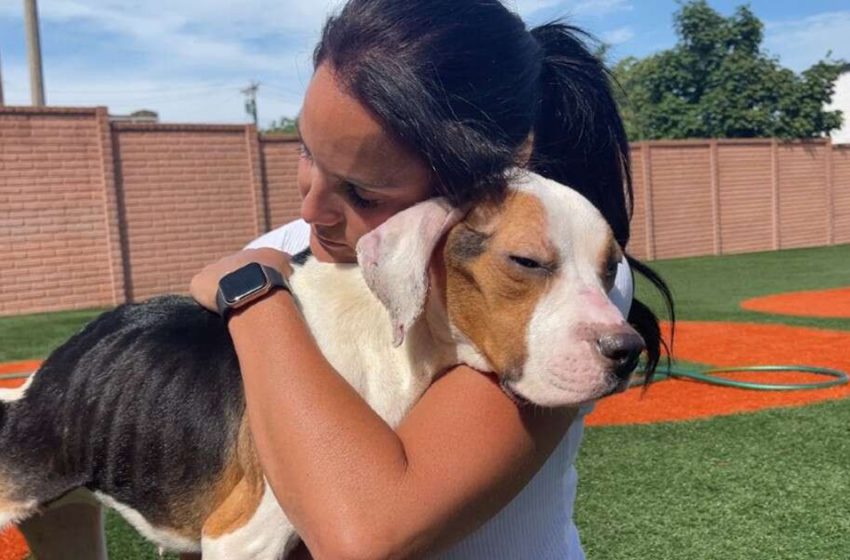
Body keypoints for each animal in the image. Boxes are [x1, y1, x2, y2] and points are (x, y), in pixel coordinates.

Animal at [0, 170, 644, 556]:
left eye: (612, 267)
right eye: (526, 262)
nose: (628, 351)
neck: (391, 347)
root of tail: (31, 391)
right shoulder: (243, 538)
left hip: (68, 525)